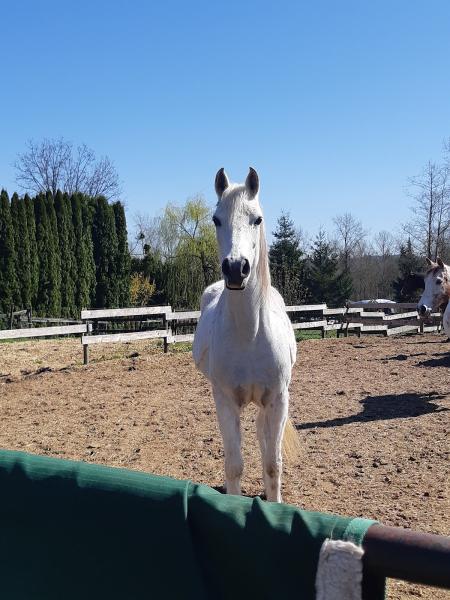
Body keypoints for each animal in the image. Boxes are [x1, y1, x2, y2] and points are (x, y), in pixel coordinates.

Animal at [192, 168, 298, 502]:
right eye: (216, 219)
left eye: (257, 219)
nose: (236, 268)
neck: (249, 335)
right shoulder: (224, 401)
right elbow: (235, 465)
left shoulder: (278, 399)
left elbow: (273, 464)